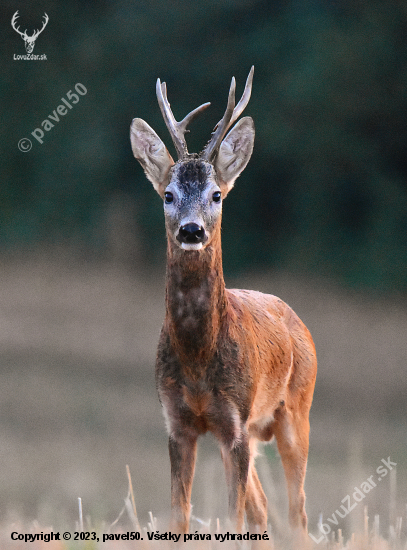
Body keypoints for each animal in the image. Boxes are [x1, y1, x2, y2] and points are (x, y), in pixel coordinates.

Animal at [131, 68, 318, 540]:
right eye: (168, 194)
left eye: (216, 194)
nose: (192, 230)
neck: (198, 360)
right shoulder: (179, 423)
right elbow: (179, 516)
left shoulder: (235, 422)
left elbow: (233, 517)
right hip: (249, 434)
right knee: (263, 508)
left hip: (295, 412)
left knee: (297, 511)